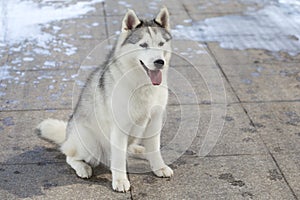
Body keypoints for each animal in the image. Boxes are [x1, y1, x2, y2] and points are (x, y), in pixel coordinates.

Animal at [37, 7, 173, 192]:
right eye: (143, 45)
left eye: (160, 44)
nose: (160, 62)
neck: (141, 85)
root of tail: (67, 135)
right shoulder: (119, 127)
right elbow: (118, 158)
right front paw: (120, 181)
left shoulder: (154, 120)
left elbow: (155, 149)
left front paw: (159, 167)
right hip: (90, 143)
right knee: (69, 156)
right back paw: (83, 168)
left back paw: (138, 150)